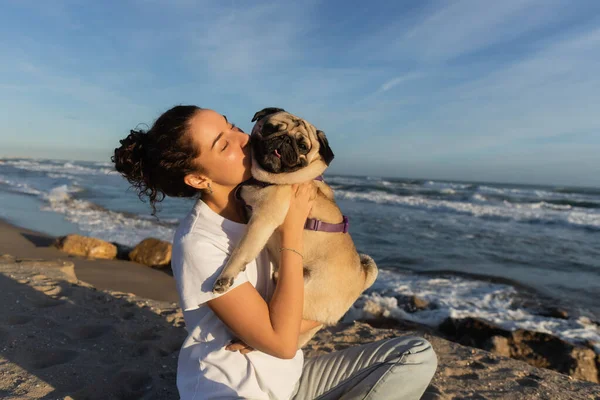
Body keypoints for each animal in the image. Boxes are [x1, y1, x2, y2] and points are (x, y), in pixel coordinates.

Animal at [213, 107, 378, 346]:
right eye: (271, 127)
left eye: (302, 146)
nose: (284, 140)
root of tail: (361, 278)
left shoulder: (262, 220)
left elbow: (241, 250)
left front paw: (226, 277)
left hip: (306, 295)